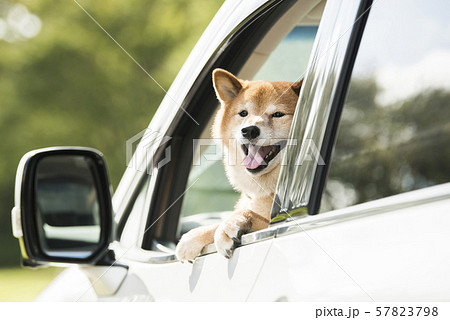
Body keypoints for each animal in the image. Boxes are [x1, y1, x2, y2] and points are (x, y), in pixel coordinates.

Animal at [176, 69, 302, 262]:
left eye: (278, 114)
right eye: (243, 113)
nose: (249, 130)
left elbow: (247, 215)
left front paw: (227, 227)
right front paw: (194, 236)